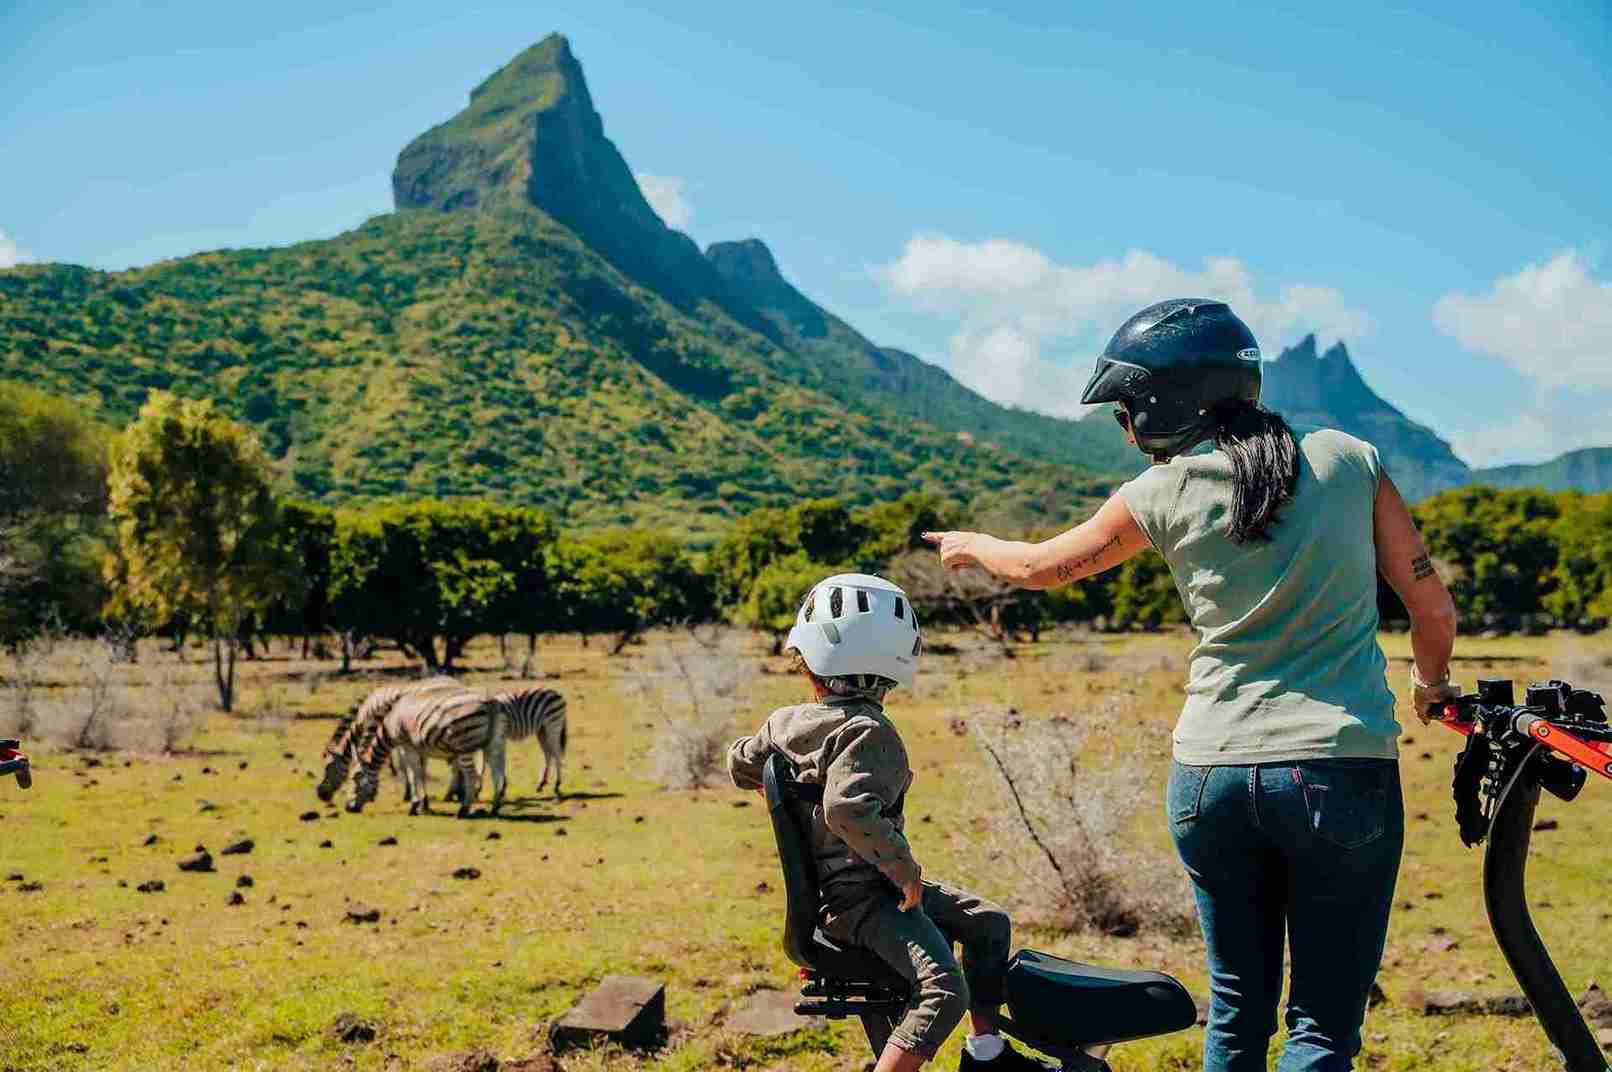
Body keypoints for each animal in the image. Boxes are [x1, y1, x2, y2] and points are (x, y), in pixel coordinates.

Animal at [314, 677, 464, 802]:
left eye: (328, 767)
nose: (320, 794)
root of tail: (454, 682)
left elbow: (402, 764)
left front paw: (407, 793)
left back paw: (453, 794)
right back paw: (457, 793)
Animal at [349, 686, 506, 818]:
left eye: (355, 778)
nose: (347, 808)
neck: (390, 725)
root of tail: (489, 701)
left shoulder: (407, 746)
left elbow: (413, 775)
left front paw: (414, 806)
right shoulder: (420, 749)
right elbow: (421, 774)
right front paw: (424, 804)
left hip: (463, 744)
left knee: (472, 776)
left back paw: (463, 810)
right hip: (493, 742)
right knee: (497, 775)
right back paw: (495, 808)